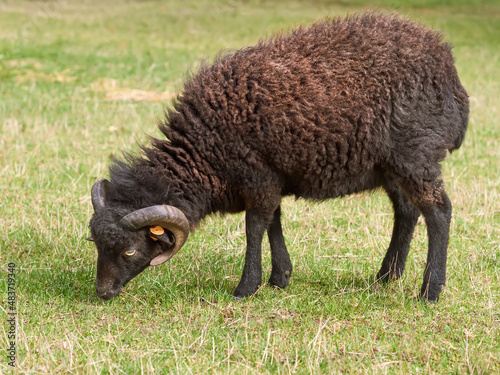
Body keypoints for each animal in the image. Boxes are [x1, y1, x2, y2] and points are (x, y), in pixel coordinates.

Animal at [89, 13, 468, 304]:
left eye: (130, 251)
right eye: (96, 245)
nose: (103, 293)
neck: (204, 152)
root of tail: (449, 69)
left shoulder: (256, 175)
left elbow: (255, 226)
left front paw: (246, 287)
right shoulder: (270, 176)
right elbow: (274, 221)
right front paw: (280, 277)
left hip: (416, 156)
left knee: (439, 212)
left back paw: (430, 291)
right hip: (390, 166)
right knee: (406, 211)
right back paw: (387, 275)